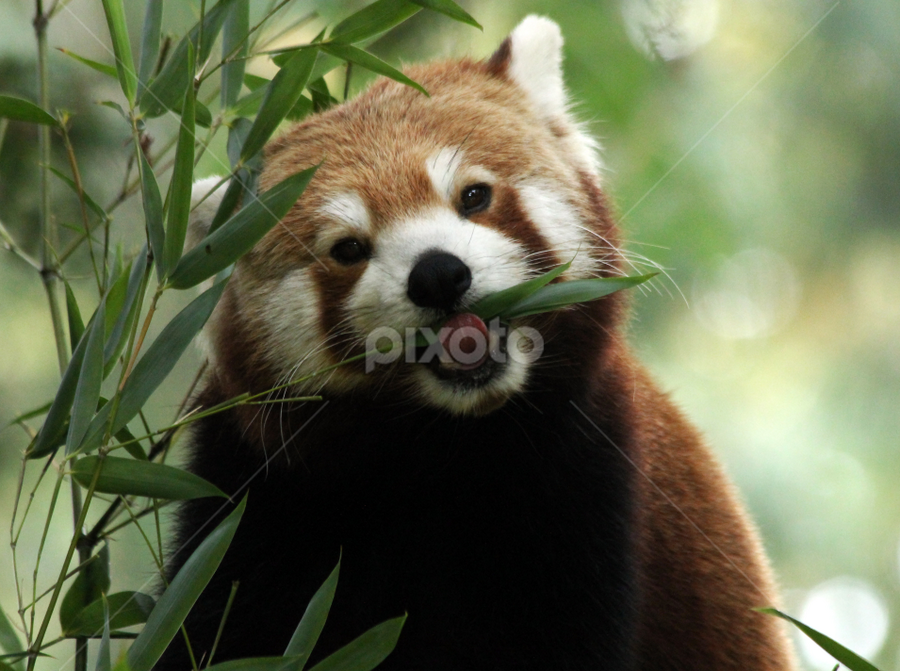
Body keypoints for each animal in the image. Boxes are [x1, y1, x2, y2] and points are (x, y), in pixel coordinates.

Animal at [156, 16, 798, 671]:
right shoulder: (255, 488)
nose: (438, 275)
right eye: (349, 248)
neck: (441, 445)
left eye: (473, 197)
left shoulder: (588, 478)